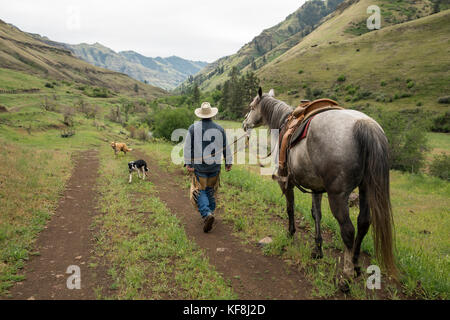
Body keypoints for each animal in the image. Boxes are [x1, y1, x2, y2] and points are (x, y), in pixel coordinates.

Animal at [244, 87, 396, 288]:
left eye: (252, 106)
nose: (244, 123)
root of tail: (365, 125)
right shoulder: (315, 187)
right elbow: (316, 214)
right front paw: (317, 248)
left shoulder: (286, 182)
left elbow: (290, 207)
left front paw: (290, 233)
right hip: (366, 190)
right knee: (363, 223)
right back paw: (355, 265)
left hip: (337, 195)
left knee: (348, 230)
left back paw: (346, 277)